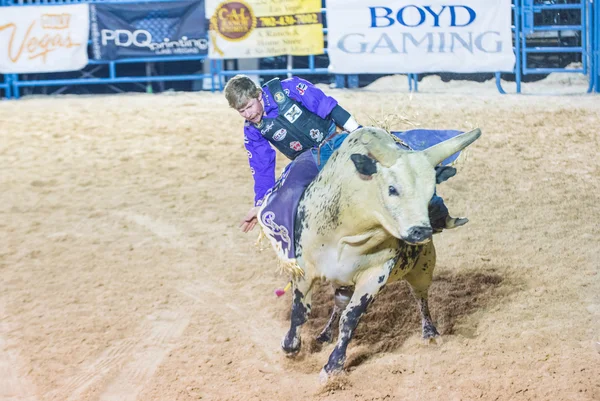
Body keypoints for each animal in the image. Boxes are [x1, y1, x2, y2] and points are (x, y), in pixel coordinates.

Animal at [258, 126, 482, 380]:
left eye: (431, 191)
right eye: (392, 188)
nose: (421, 231)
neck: (350, 232)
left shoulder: (375, 275)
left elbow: (351, 319)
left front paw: (332, 367)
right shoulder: (304, 268)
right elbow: (300, 312)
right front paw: (291, 347)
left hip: (423, 266)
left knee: (420, 297)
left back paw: (430, 333)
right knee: (338, 304)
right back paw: (324, 334)